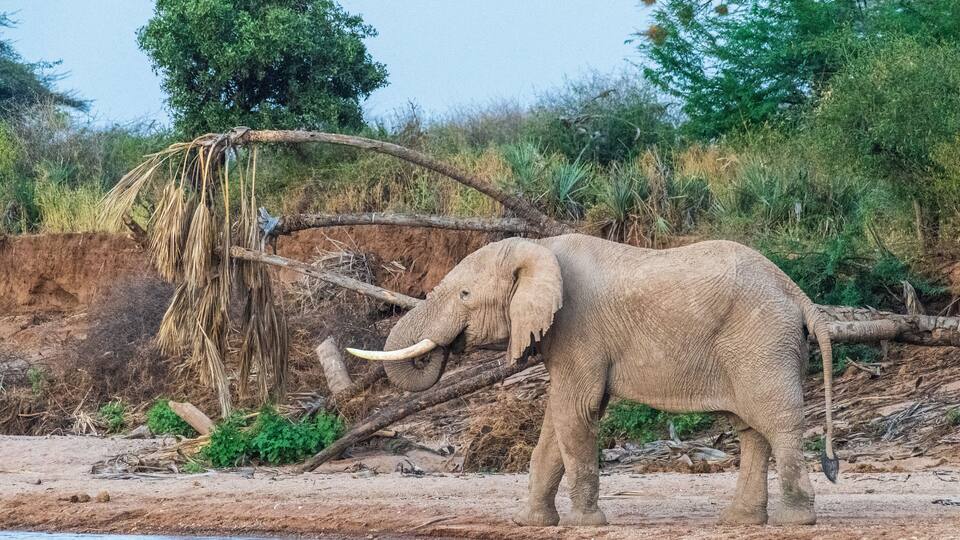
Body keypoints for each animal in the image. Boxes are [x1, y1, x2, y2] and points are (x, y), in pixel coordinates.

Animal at [347, 233, 838, 527]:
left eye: (465, 294)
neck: (539, 249)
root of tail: (796, 292)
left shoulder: (578, 330)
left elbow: (576, 411)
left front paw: (587, 525)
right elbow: (555, 423)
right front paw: (533, 524)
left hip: (762, 339)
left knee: (776, 421)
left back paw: (796, 522)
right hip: (759, 345)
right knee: (751, 426)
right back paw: (739, 522)